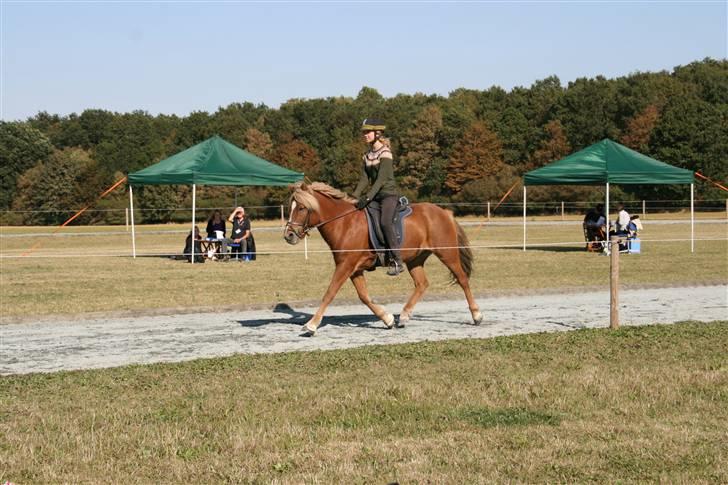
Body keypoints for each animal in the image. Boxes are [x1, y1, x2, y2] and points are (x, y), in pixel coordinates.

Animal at [284, 180, 484, 334]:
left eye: (301, 208)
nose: (289, 235)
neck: (344, 222)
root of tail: (444, 212)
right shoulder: (354, 269)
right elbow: (364, 296)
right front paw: (387, 319)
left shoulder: (345, 266)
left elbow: (329, 293)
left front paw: (311, 325)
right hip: (415, 259)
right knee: (422, 284)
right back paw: (403, 316)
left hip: (447, 253)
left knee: (462, 279)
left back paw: (476, 315)